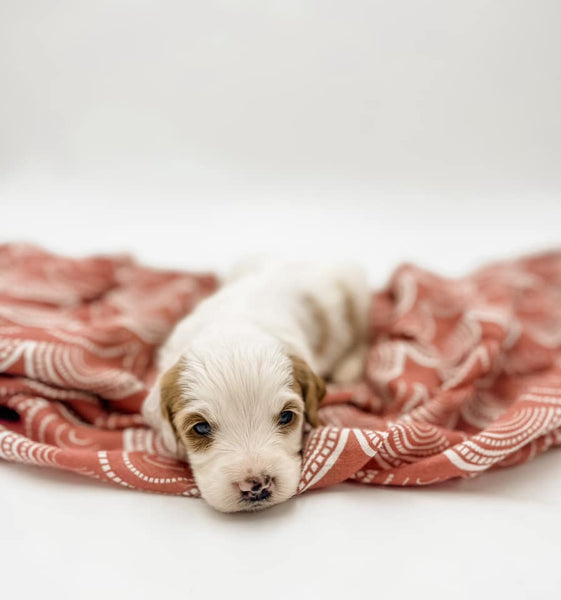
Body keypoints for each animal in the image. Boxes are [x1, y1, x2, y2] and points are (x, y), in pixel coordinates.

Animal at [142, 258, 370, 510]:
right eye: (200, 428)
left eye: (287, 416)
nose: (256, 485)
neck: (233, 325)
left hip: (355, 291)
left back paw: (349, 366)